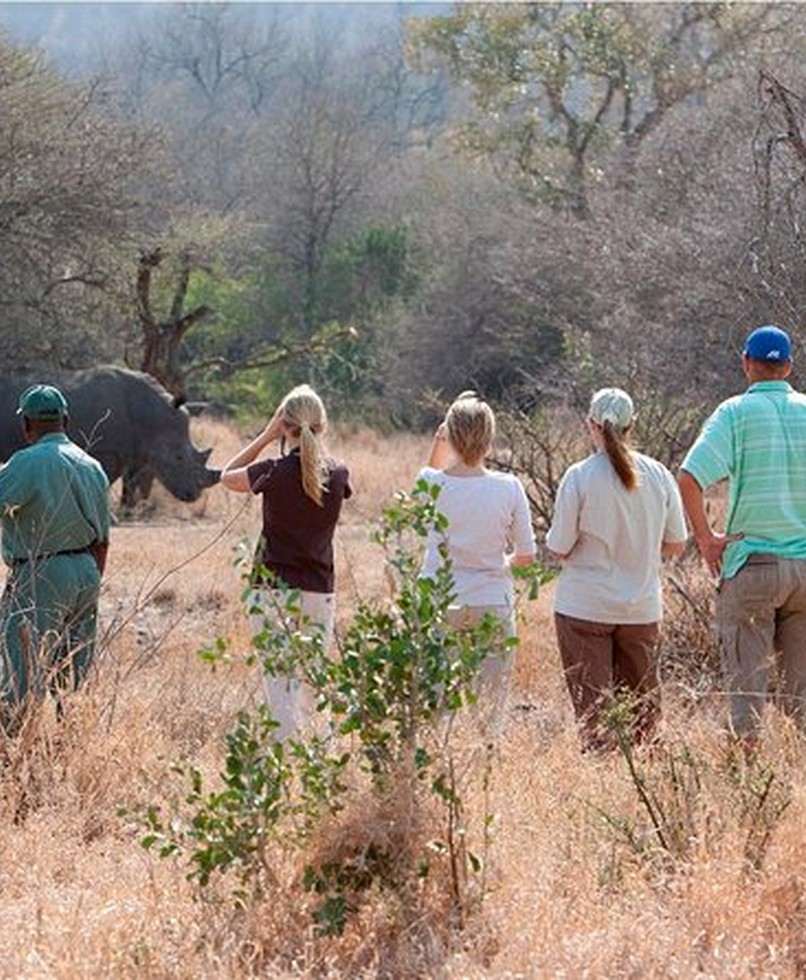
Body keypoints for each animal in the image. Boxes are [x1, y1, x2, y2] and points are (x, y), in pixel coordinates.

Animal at [0, 366, 220, 505]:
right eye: (178, 458)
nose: (193, 495)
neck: (152, 417)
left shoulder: (133, 450)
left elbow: (131, 482)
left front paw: (128, 510)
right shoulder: (105, 450)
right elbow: (107, 479)